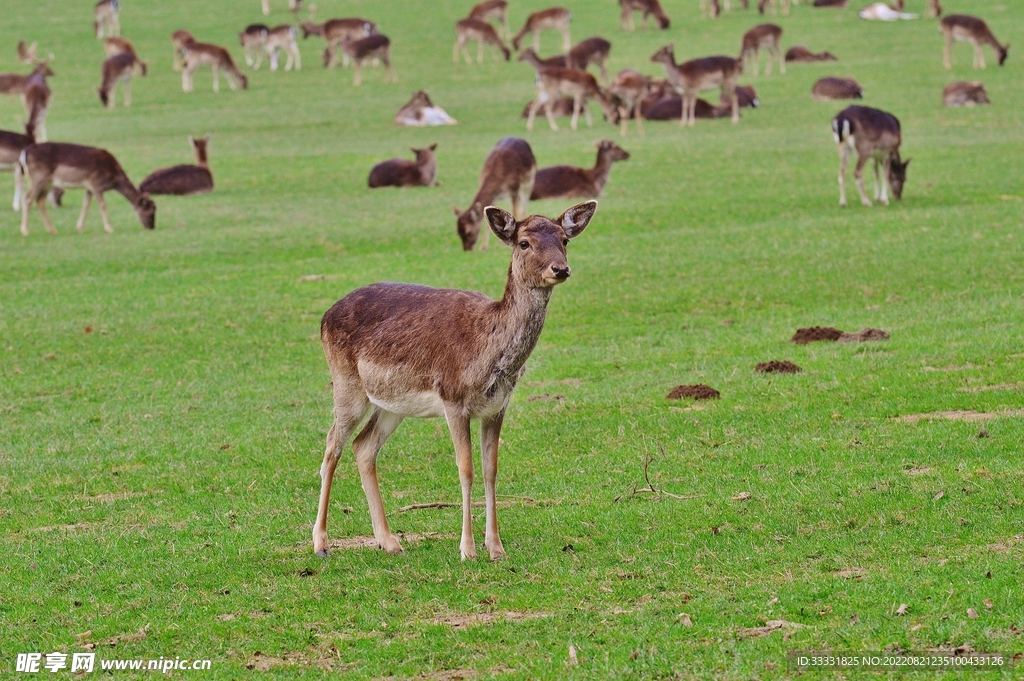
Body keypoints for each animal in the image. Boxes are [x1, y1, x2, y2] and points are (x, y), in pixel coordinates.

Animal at [18, 142, 156, 235]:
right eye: (150, 212)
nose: (151, 227)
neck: (114, 179)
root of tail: (24, 153)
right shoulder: (96, 184)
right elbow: (103, 205)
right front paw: (109, 228)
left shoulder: (89, 188)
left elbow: (86, 204)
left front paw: (79, 228)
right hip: (38, 177)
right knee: (28, 198)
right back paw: (25, 231)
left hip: (47, 183)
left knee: (40, 200)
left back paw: (52, 230)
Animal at [315, 198, 597, 561]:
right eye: (524, 243)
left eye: (564, 239)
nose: (560, 269)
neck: (488, 353)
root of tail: (324, 317)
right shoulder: (453, 398)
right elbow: (466, 468)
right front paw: (468, 549)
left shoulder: (497, 406)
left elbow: (491, 468)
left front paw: (496, 548)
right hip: (347, 383)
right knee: (331, 446)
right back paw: (321, 543)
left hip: (392, 403)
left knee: (363, 447)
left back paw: (389, 541)